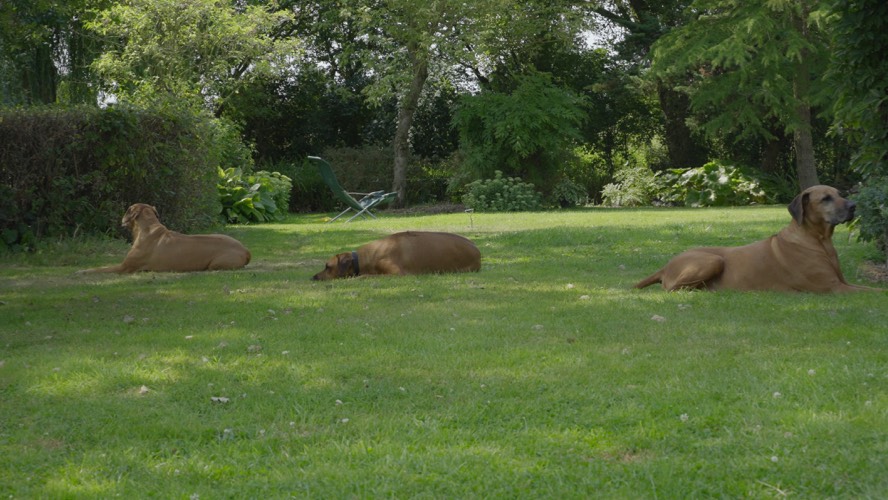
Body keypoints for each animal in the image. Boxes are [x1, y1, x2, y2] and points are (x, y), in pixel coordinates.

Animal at [77, 202, 250, 274]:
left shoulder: (124, 267)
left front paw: (83, 271)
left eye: (127, 210)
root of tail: (246, 250)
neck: (148, 227)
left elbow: (100, 268)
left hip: (216, 263)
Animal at [636, 185, 876, 292]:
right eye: (826, 198)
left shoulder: (843, 283)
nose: (854, 206)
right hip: (713, 260)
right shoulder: (834, 287)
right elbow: (878, 291)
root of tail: (666, 265)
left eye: (839, 194)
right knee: (671, 289)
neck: (819, 241)